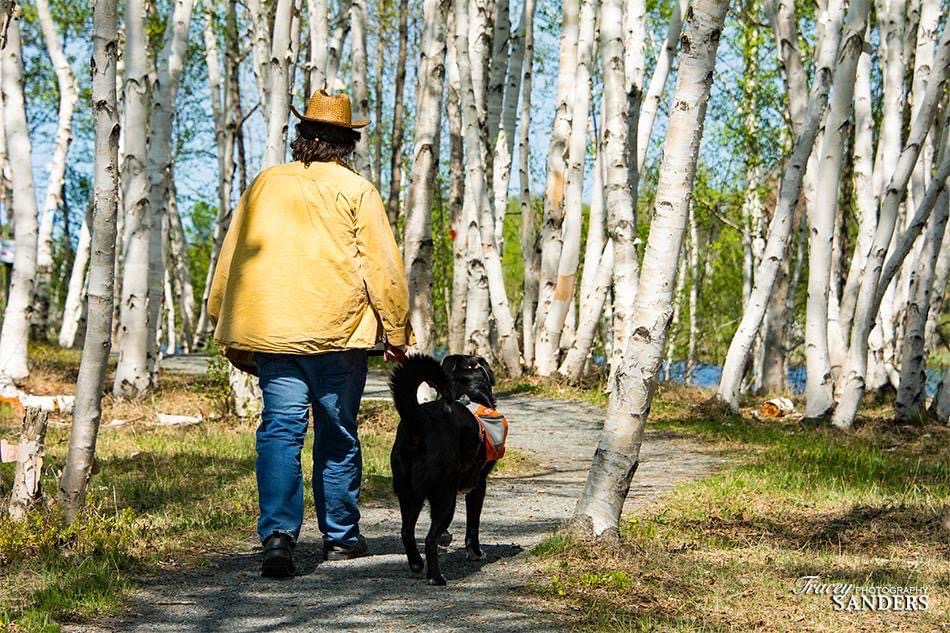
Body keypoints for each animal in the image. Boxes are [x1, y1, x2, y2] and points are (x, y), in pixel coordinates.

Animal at [390, 354, 502, 584]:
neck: (467, 392)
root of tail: (420, 423)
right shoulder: (478, 485)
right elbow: (473, 524)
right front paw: (475, 552)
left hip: (409, 494)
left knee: (406, 531)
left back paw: (417, 563)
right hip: (445, 497)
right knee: (429, 539)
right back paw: (436, 577)